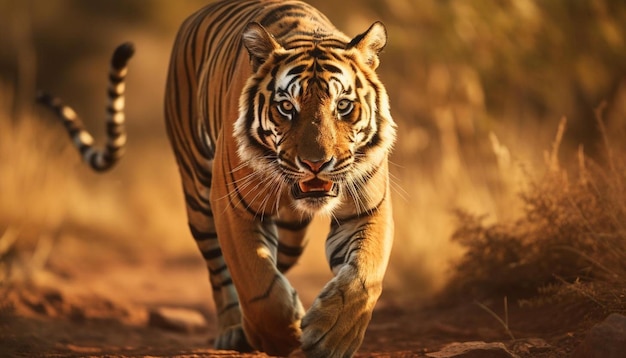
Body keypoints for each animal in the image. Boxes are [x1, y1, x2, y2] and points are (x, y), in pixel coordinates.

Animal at [39, 1, 398, 356]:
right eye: (286, 107)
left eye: (343, 106)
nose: (316, 163)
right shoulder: (234, 207)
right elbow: (257, 284)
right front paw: (278, 337)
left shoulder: (368, 209)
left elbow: (364, 276)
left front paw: (334, 336)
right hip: (199, 194)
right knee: (220, 272)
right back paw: (234, 331)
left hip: (294, 232)